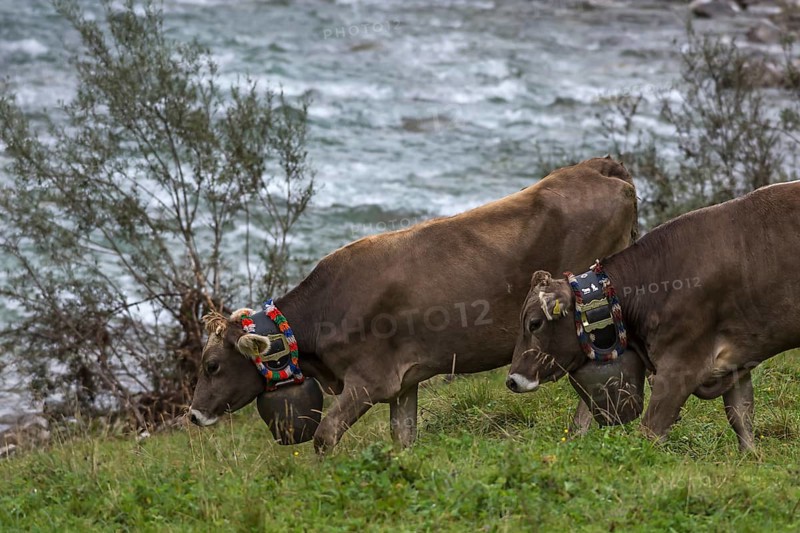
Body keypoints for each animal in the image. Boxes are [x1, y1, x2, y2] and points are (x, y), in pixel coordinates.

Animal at [189, 157, 639, 453]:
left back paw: (580, 436)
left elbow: (324, 435)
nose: (192, 416)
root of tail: (600, 165)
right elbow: (403, 437)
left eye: (211, 366)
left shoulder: (370, 379)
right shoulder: (404, 383)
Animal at [506, 181, 800, 451]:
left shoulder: (681, 365)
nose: (512, 380)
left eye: (534, 323)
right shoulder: (736, 361)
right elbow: (741, 417)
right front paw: (750, 458)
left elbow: (651, 430)